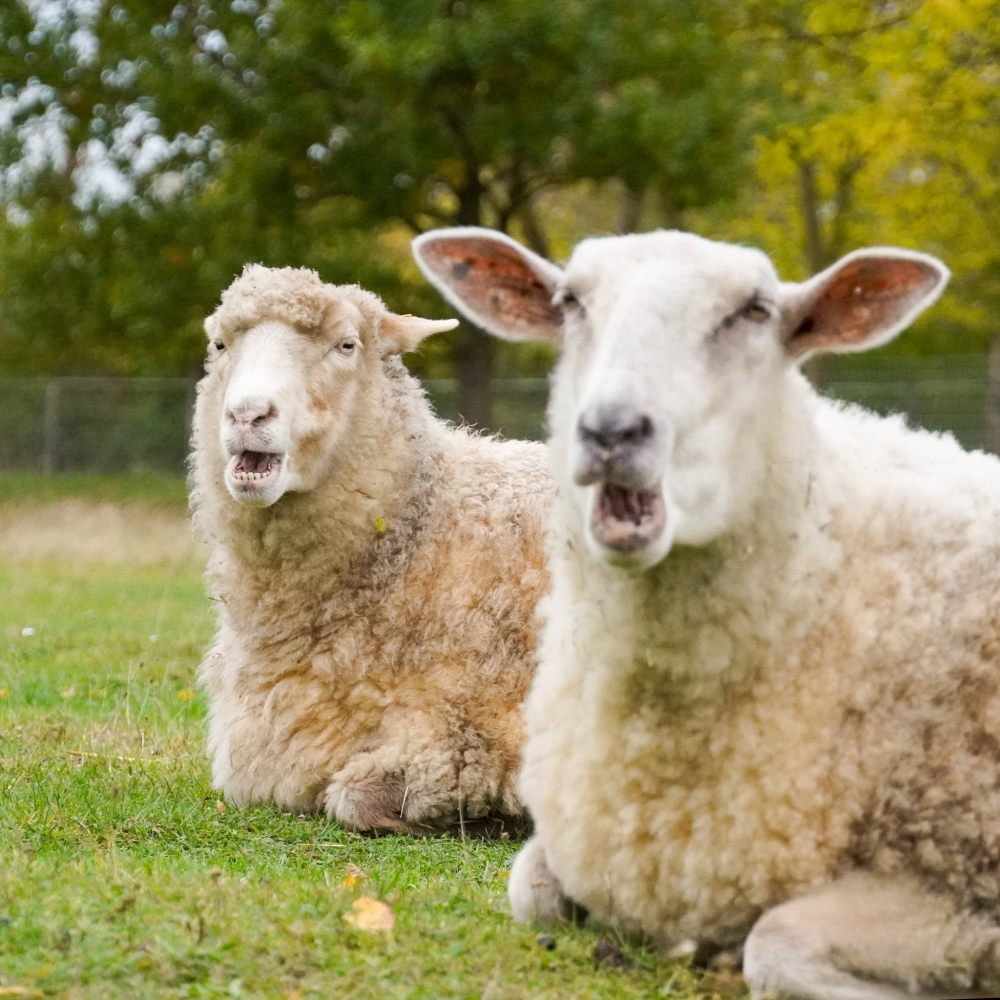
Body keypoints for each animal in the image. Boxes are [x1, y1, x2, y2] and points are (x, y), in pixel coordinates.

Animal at [413, 226, 1000, 999]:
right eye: (570, 302)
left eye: (754, 311)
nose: (611, 430)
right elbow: (528, 889)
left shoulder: (962, 893)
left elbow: (774, 945)